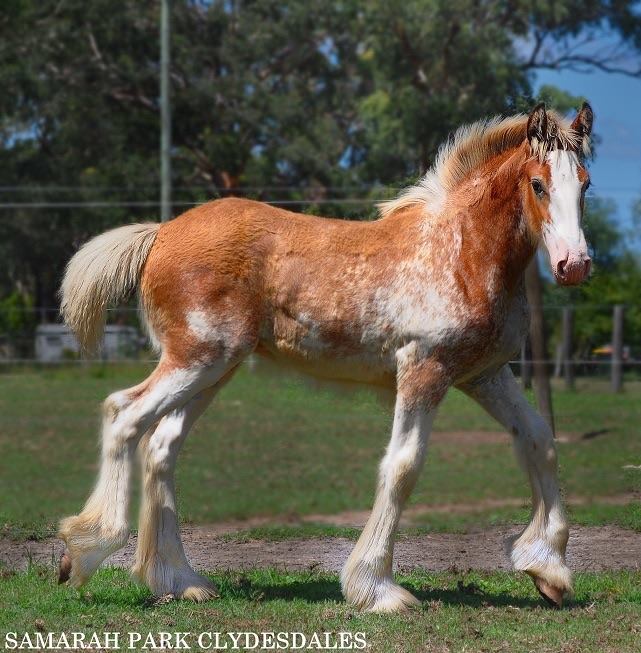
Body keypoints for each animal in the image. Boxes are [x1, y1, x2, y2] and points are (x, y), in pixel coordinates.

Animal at [57, 102, 592, 612]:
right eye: (539, 184)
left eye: (584, 184)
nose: (574, 266)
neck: (461, 252)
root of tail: (161, 231)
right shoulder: (424, 370)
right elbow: (402, 466)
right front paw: (377, 589)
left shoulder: (485, 375)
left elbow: (540, 440)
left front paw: (548, 570)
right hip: (197, 360)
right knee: (124, 414)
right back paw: (84, 550)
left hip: (213, 370)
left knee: (162, 447)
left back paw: (180, 581)